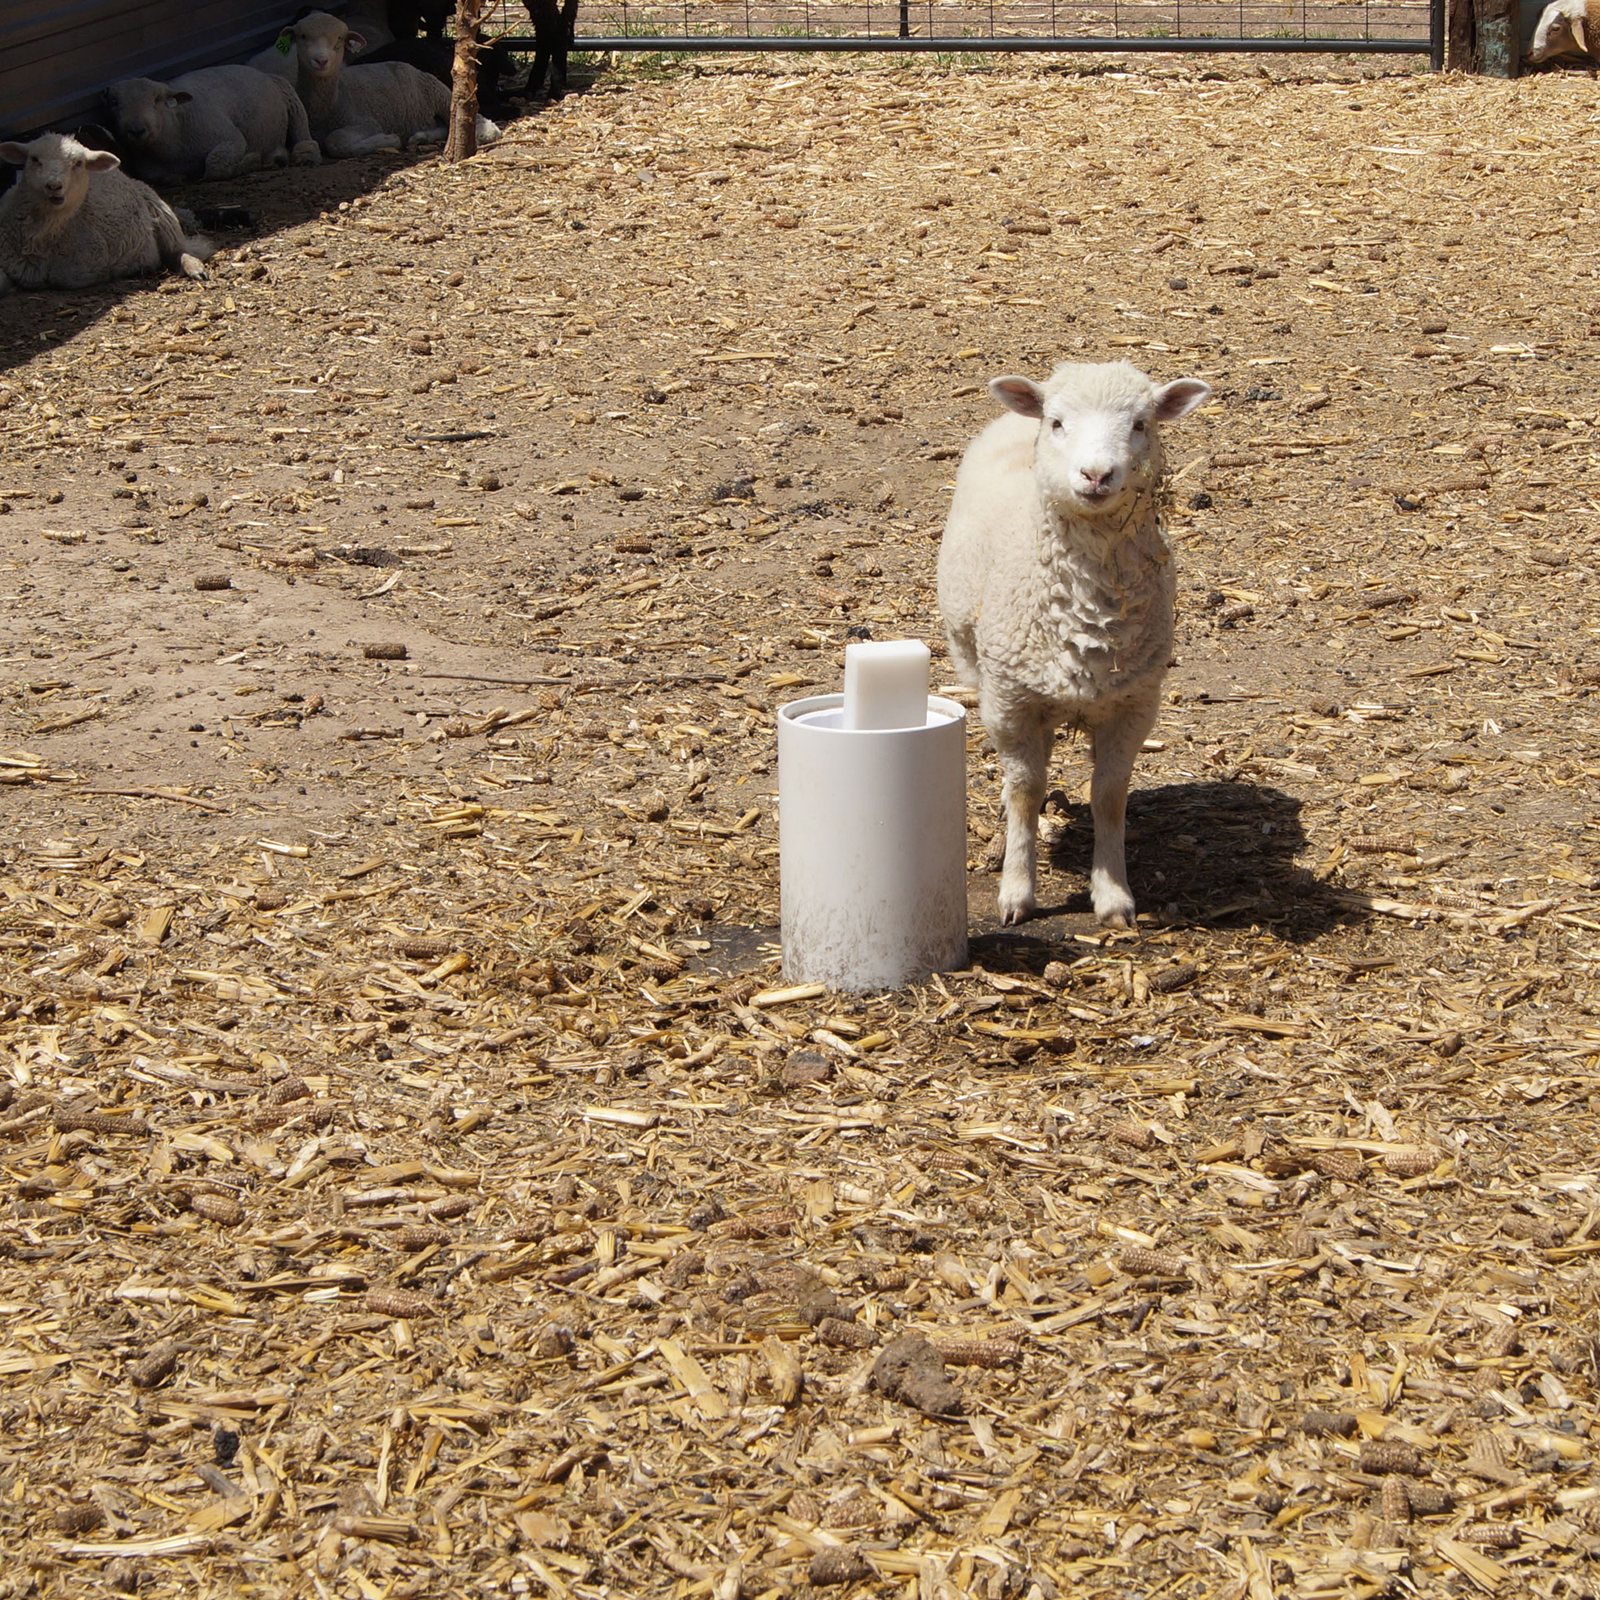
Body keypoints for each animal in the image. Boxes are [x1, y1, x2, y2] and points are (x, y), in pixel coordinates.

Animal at [0, 133, 212, 293]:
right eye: (34, 159)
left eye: (78, 163)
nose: (53, 186)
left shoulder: (92, 257)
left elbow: (62, 277)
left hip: (160, 209)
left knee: (178, 249)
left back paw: (194, 267)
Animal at [104, 65, 321, 183]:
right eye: (114, 102)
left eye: (157, 99)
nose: (136, 130)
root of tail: (261, 73)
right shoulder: (148, 171)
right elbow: (164, 178)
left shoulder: (230, 139)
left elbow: (215, 168)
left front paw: (249, 161)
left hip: (288, 93)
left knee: (304, 133)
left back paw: (301, 154)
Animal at [289, 10, 499, 158]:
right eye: (302, 36)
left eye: (339, 39)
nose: (320, 60)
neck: (332, 99)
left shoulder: (366, 122)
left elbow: (335, 142)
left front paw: (388, 139)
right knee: (445, 126)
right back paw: (419, 137)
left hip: (440, 93)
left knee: (474, 120)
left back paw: (483, 134)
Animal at [938, 360, 1211, 928]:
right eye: (1059, 423)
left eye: (1141, 424)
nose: (1096, 475)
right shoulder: (1009, 699)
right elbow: (1024, 791)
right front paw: (1016, 892)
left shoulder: (1135, 703)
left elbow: (1108, 796)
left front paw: (1112, 896)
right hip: (980, 666)